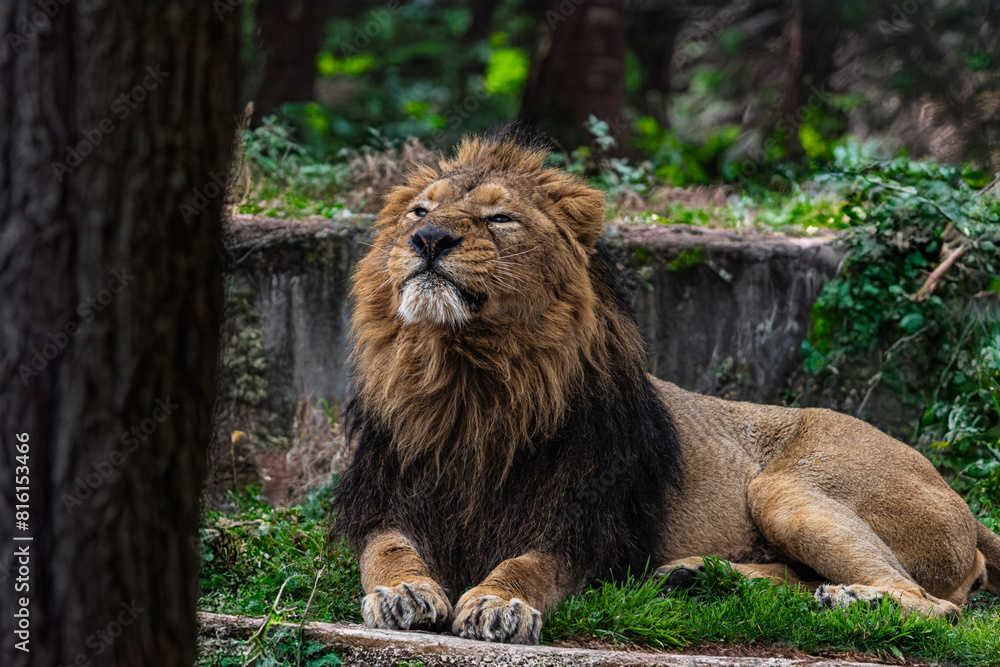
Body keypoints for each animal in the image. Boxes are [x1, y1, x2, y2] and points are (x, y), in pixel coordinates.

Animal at [332, 124, 1000, 645]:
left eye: (500, 218)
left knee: (935, 606)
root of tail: (963, 506)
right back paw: (699, 577)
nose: (427, 240)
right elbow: (386, 550)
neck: (468, 381)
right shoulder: (384, 500)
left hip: (785, 488)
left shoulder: (585, 525)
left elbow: (529, 566)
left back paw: (850, 599)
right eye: (420, 211)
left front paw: (501, 604)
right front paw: (402, 593)